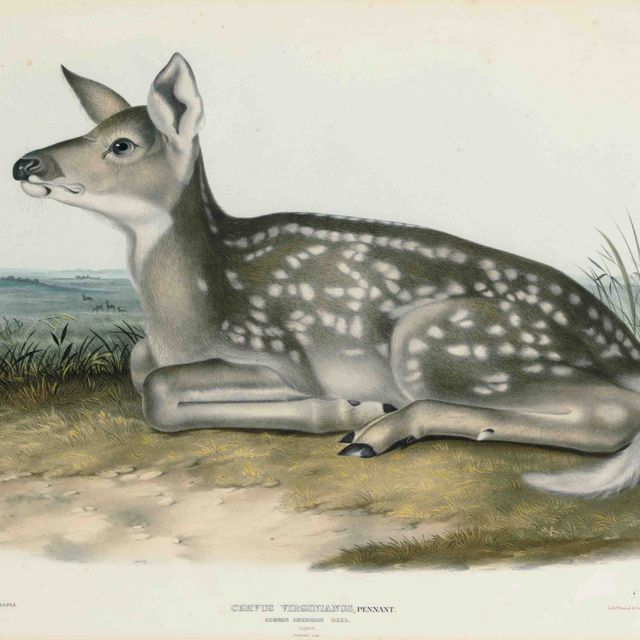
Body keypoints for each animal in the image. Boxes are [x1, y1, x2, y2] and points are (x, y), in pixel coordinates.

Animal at [12, 53, 640, 499]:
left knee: (614, 413)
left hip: (441, 343)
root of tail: (625, 346)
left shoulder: (282, 354)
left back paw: (375, 430)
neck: (186, 318)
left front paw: (343, 409)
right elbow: (142, 366)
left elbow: (160, 390)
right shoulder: (160, 349)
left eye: (121, 144)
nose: (25, 163)